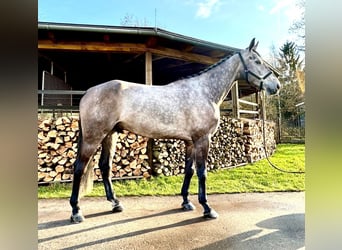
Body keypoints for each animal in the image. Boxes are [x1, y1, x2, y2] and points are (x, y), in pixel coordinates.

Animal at [69, 38, 280, 223]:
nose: (276, 86)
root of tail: (88, 93)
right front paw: (207, 208)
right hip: (93, 137)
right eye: (257, 61)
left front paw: (186, 202)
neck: (204, 92)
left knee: (105, 167)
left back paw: (115, 204)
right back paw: (76, 211)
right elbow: (202, 172)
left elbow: (189, 170)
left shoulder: (190, 142)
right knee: (79, 168)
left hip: (109, 135)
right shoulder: (203, 139)